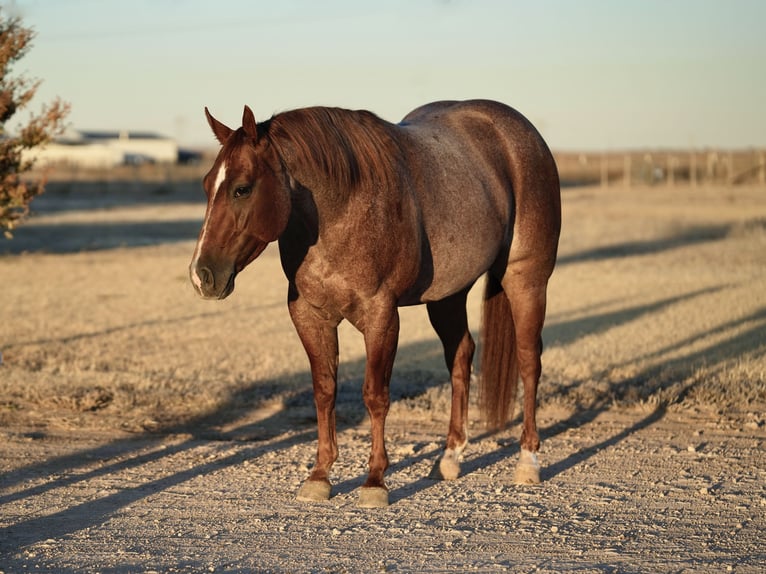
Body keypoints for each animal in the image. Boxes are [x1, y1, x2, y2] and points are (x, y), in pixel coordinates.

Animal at [190, 100, 564, 508]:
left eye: (241, 189)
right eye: (207, 185)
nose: (201, 276)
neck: (344, 209)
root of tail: (520, 132)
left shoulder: (381, 316)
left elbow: (375, 395)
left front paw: (374, 481)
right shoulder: (310, 316)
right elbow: (325, 391)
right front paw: (320, 475)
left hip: (526, 280)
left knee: (529, 362)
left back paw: (527, 460)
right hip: (448, 295)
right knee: (461, 358)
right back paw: (449, 457)